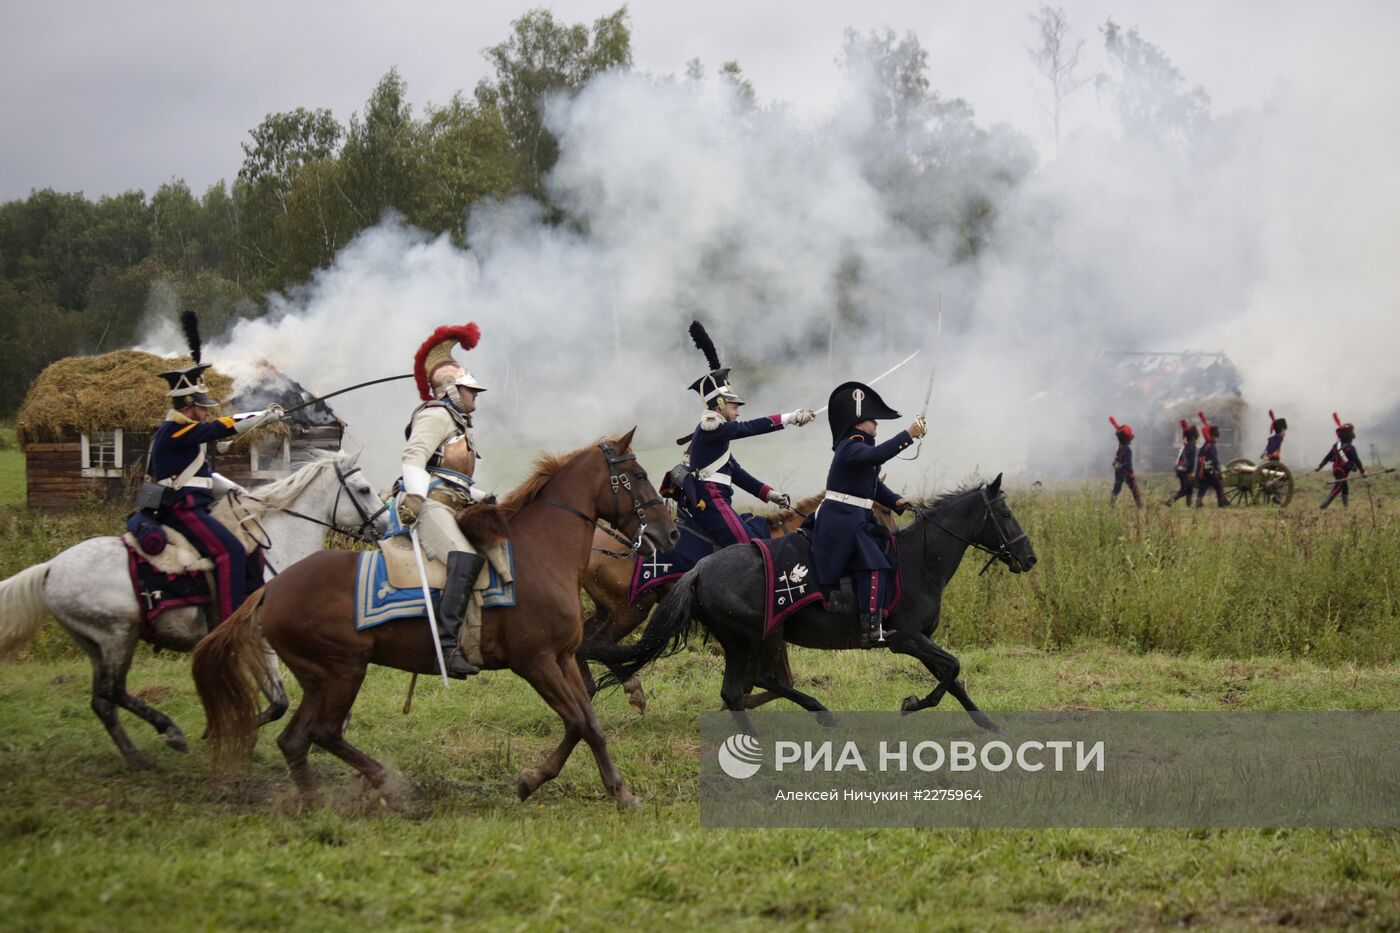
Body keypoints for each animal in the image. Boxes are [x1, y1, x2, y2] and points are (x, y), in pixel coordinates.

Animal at [0, 448, 389, 762]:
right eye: (363, 489)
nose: (384, 527)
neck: (275, 546)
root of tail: (51, 567)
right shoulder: (261, 639)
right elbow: (278, 703)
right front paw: (218, 734)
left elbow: (282, 700)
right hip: (117, 636)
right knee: (112, 691)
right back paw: (169, 732)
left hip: (95, 642)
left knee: (102, 701)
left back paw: (137, 757)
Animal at [191, 431, 677, 801]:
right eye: (638, 476)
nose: (670, 533)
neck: (540, 552)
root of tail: (271, 589)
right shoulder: (535, 662)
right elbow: (578, 720)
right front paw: (544, 782)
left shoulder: (561, 659)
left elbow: (588, 723)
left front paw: (611, 789)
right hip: (342, 672)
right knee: (324, 733)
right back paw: (387, 787)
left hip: (319, 678)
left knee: (296, 739)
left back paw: (314, 803)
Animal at [585, 476, 1036, 728]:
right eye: (1005, 514)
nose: (1028, 557)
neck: (917, 561)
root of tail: (701, 569)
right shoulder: (905, 639)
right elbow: (952, 669)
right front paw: (912, 704)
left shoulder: (919, 642)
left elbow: (953, 677)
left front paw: (987, 723)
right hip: (751, 634)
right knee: (754, 682)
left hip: (736, 639)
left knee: (737, 688)